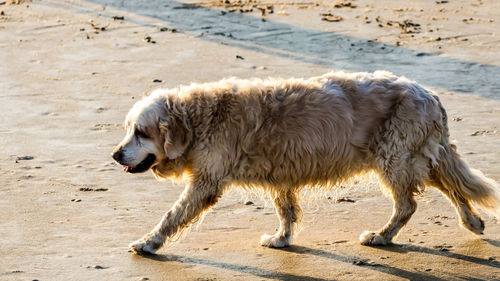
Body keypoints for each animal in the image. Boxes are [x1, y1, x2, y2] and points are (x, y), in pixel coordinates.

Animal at [111, 70, 498, 254]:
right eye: (129, 129)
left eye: (141, 132)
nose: (115, 155)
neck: (200, 119)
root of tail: (430, 94)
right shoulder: (280, 174)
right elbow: (286, 211)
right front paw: (282, 239)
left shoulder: (206, 182)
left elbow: (172, 216)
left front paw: (148, 243)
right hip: (415, 158)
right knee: (452, 187)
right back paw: (472, 221)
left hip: (394, 158)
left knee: (408, 204)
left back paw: (382, 236)